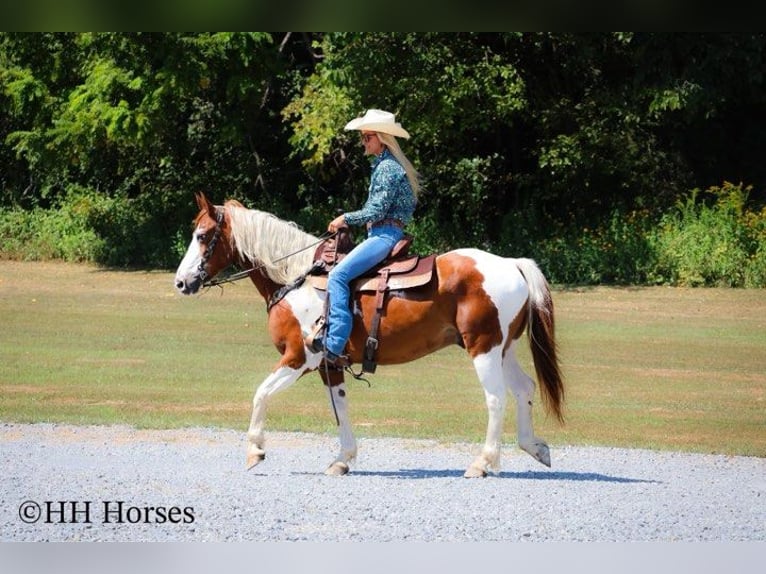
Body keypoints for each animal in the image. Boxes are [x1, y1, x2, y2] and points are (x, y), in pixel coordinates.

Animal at [174, 192, 564, 478]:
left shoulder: (299, 357)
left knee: (496, 398)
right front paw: (342, 459)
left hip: (483, 348)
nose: (180, 282)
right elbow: (341, 406)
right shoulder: (330, 365)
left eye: (202, 236)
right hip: (503, 348)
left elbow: (261, 394)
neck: (296, 278)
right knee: (524, 389)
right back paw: (535, 447)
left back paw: (483, 463)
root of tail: (511, 263)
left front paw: (255, 449)